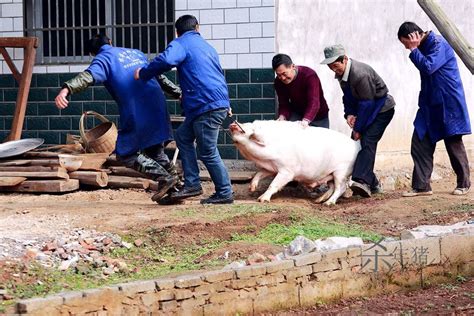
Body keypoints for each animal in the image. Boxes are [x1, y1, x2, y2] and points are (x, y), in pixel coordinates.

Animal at [230, 120, 360, 205]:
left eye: (249, 128)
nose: (233, 124)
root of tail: (357, 146)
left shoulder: (287, 171)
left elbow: (274, 184)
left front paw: (262, 199)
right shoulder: (271, 168)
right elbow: (258, 174)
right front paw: (251, 188)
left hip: (341, 172)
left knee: (341, 187)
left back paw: (328, 203)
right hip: (330, 174)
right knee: (332, 187)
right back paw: (318, 200)